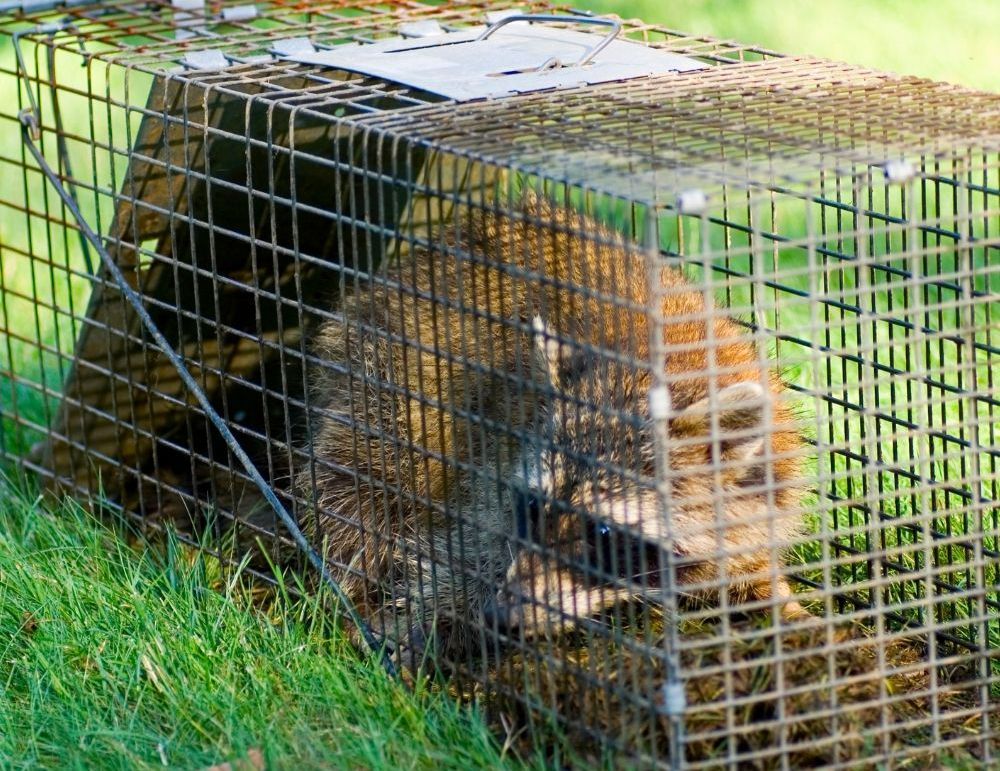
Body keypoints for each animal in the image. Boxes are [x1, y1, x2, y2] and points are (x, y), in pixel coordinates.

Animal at [296, 194, 806, 663]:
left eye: (603, 533)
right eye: (532, 506)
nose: (504, 613)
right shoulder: (493, 458)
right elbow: (465, 551)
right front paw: (443, 619)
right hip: (383, 382)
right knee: (361, 490)